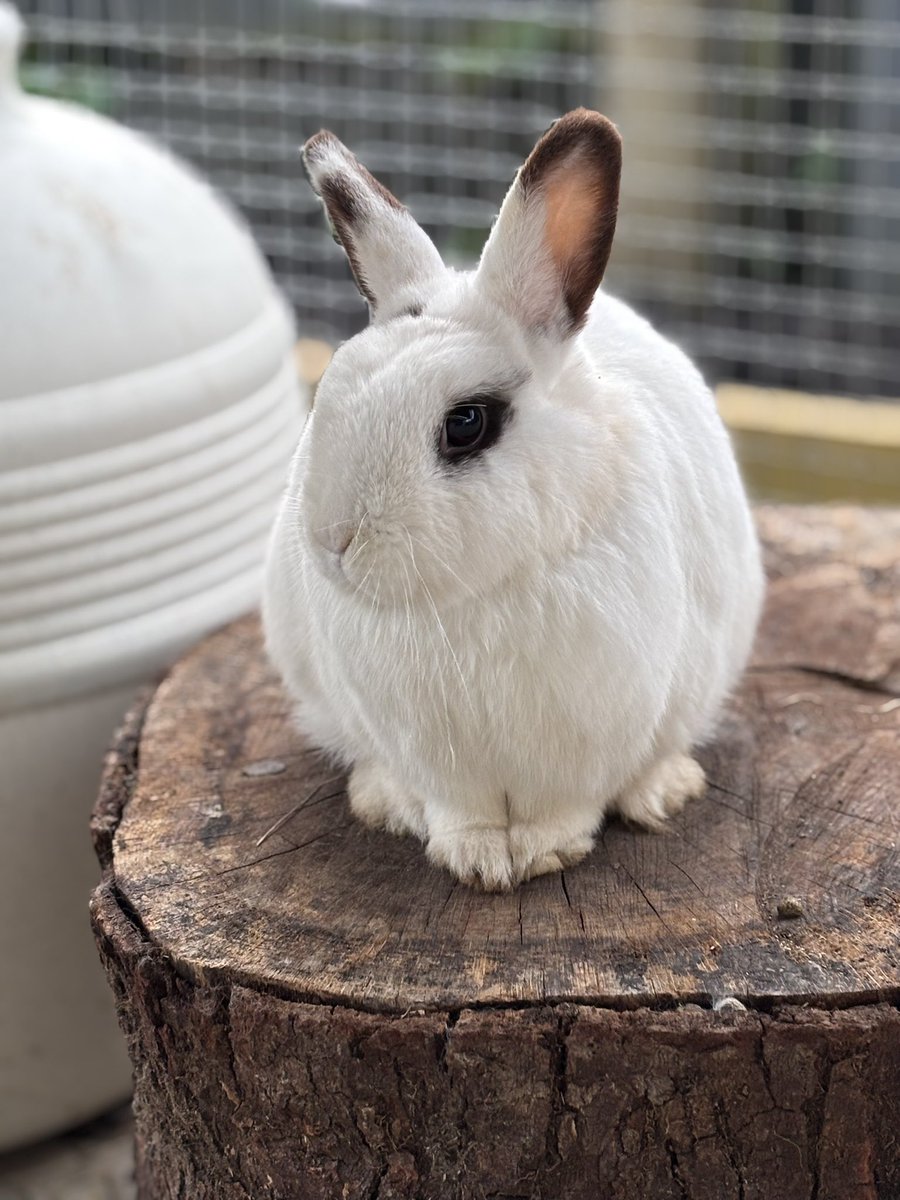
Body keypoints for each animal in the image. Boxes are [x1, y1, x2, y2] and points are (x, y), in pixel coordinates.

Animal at [263, 108, 764, 891]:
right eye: (330, 395)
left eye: (467, 423)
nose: (332, 541)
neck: (474, 599)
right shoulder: (431, 754)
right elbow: (458, 810)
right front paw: (473, 860)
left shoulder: (588, 738)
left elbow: (565, 808)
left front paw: (541, 855)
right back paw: (381, 800)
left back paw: (663, 790)